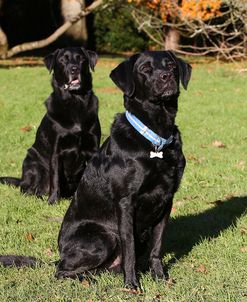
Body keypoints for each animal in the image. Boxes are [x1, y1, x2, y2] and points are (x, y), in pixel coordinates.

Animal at [0, 46, 101, 203]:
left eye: (81, 59)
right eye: (63, 60)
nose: (74, 69)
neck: (75, 101)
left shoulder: (93, 148)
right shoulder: (56, 152)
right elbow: (55, 179)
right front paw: (52, 201)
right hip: (33, 163)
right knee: (27, 190)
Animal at [56, 51, 191, 288]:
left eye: (172, 66)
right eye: (145, 69)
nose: (166, 76)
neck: (156, 141)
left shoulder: (167, 199)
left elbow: (157, 245)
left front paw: (160, 276)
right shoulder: (126, 201)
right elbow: (129, 248)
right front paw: (132, 285)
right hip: (104, 237)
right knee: (61, 270)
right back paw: (87, 279)